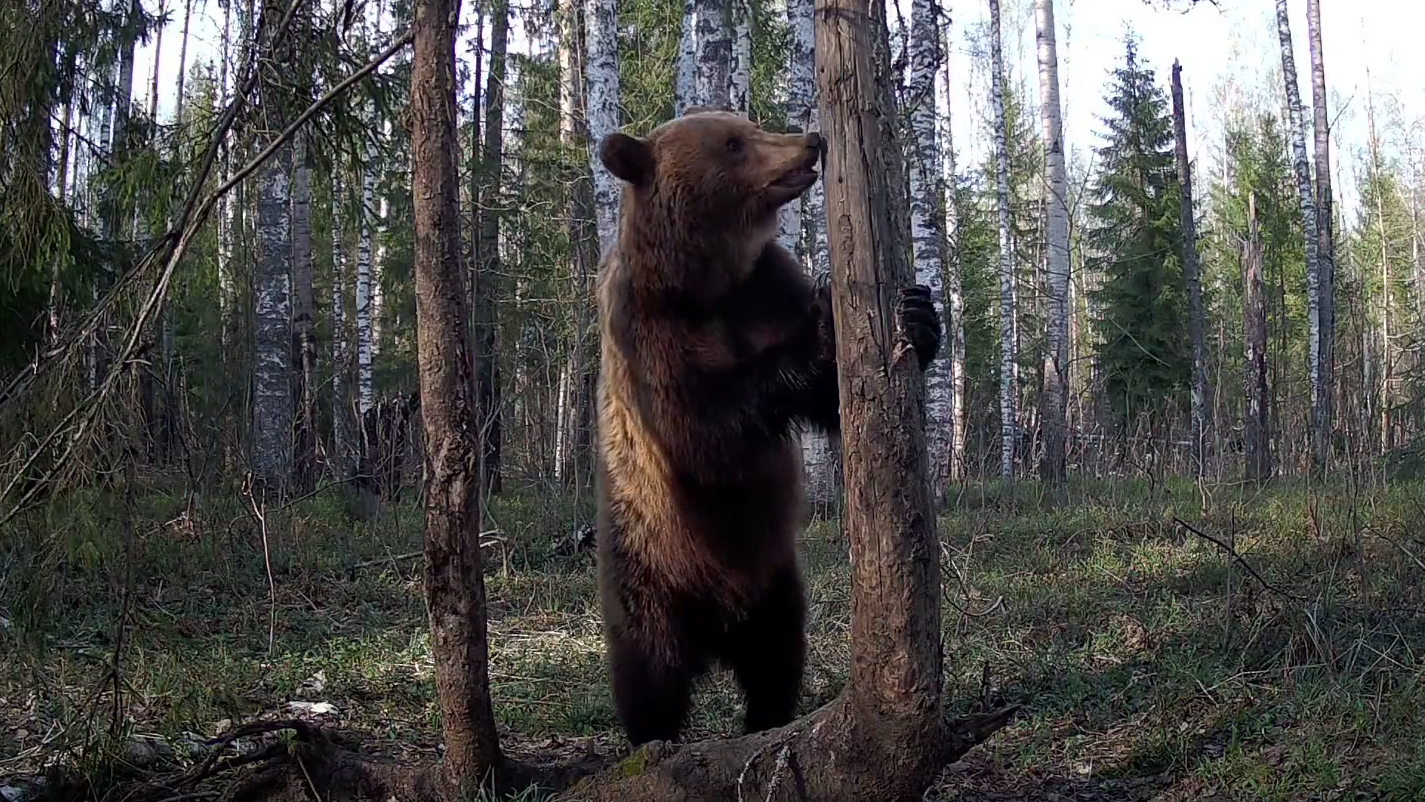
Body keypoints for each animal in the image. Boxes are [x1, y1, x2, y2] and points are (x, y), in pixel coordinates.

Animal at [591, 106, 943, 747]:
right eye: (733, 143)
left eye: (749, 124)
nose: (810, 141)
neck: (709, 279)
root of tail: (717, 629)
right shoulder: (646, 329)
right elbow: (700, 426)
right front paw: (822, 331)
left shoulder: (767, 285)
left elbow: (832, 400)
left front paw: (917, 314)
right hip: (647, 566)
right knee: (648, 667)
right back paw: (654, 738)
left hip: (774, 580)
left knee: (777, 656)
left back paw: (767, 719)